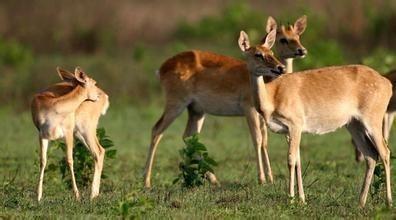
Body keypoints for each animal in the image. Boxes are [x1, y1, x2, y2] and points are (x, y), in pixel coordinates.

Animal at [31, 66, 109, 201]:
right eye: (94, 82)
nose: (98, 96)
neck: (54, 106)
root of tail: (105, 96)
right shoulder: (42, 135)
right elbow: (43, 161)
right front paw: (39, 196)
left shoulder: (67, 133)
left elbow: (69, 160)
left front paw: (77, 195)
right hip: (80, 134)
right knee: (99, 152)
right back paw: (94, 194)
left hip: (86, 130)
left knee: (98, 151)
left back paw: (92, 195)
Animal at [142, 15, 306, 188]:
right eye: (258, 54)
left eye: (297, 36)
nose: (281, 67)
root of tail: (162, 68)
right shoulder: (249, 110)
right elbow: (257, 139)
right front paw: (262, 179)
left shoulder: (262, 116)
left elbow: (265, 141)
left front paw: (270, 178)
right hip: (175, 104)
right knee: (157, 130)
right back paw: (146, 181)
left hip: (196, 111)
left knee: (188, 136)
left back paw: (212, 179)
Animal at [238, 28, 392, 206]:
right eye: (258, 54)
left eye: (271, 52)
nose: (280, 67)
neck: (272, 98)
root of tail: (388, 85)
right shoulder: (288, 131)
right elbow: (298, 160)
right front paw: (301, 199)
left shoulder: (296, 123)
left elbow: (291, 159)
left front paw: (291, 199)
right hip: (354, 124)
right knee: (371, 155)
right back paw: (360, 202)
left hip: (373, 118)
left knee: (385, 152)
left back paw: (388, 201)